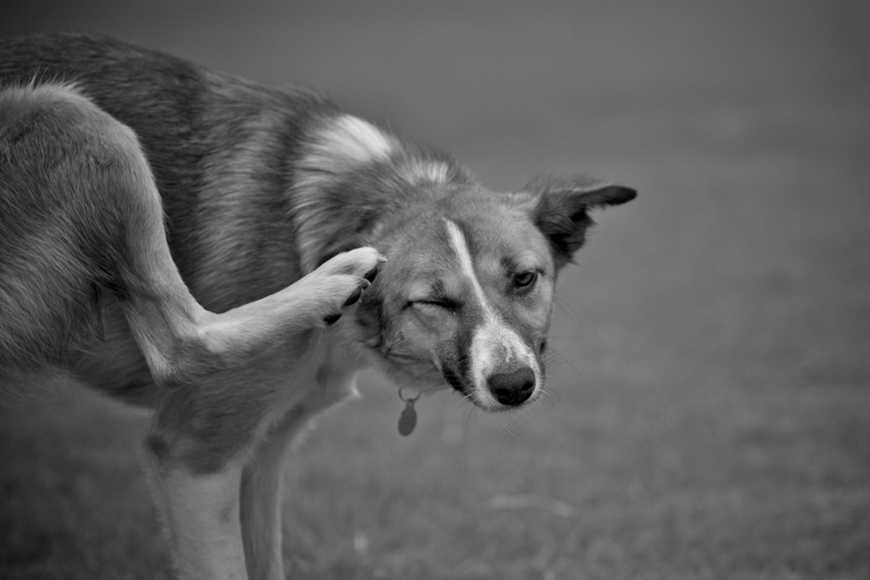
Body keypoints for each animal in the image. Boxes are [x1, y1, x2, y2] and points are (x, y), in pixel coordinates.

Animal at [1, 34, 640, 576]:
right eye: (433, 301)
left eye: (525, 279)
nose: (513, 385)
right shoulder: (190, 458)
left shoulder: (262, 457)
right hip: (72, 115)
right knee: (179, 342)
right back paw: (331, 281)